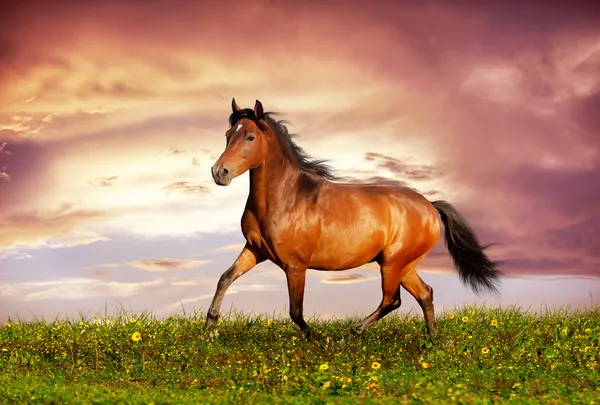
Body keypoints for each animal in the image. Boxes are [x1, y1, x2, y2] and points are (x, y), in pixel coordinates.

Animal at [206, 98, 502, 338]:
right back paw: (432, 342)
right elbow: (224, 278)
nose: (219, 172)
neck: (285, 198)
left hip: (393, 264)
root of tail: (429, 205)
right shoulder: (255, 250)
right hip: (403, 265)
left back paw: (351, 334)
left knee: (392, 301)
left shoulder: (295, 266)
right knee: (424, 294)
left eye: (250, 137)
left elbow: (296, 311)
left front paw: (321, 340)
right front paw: (210, 329)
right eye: (228, 134)